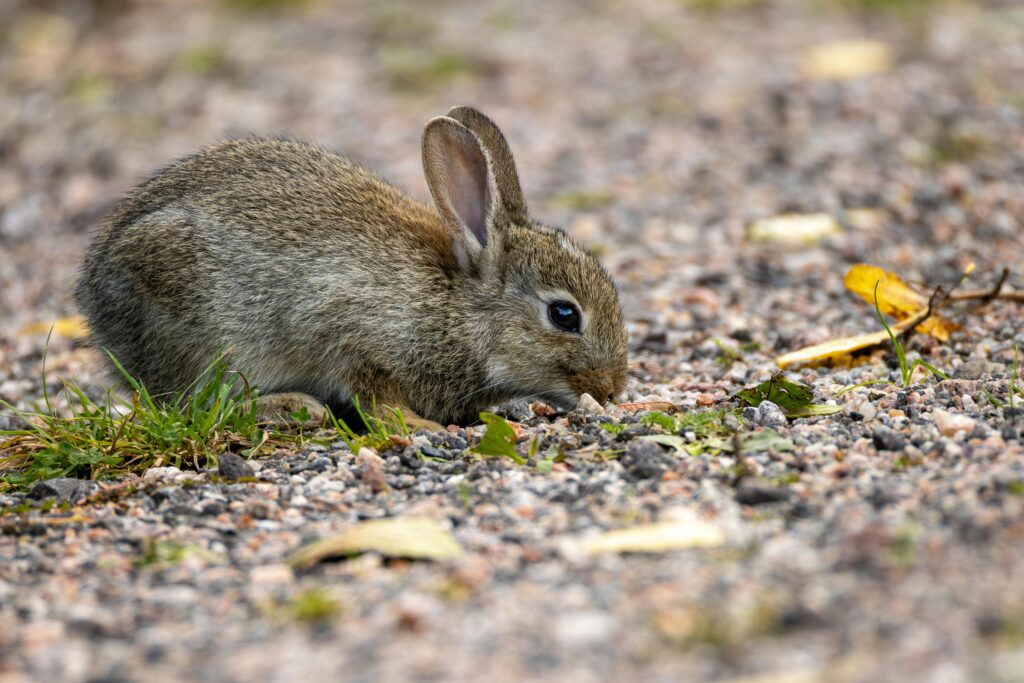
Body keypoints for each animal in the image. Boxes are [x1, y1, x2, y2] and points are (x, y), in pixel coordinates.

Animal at [75, 106, 628, 430]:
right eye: (564, 315)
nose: (612, 390)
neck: (459, 311)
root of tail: (93, 298)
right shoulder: (355, 335)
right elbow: (376, 398)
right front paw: (426, 428)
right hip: (198, 332)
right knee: (196, 402)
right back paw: (293, 408)